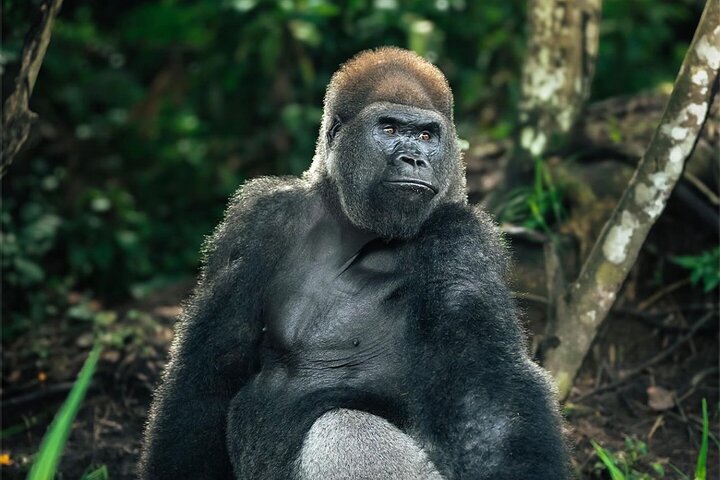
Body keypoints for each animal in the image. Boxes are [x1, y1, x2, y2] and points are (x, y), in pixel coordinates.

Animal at [140, 46, 569, 480]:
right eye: (390, 129)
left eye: (427, 136)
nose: (414, 159)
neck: (352, 227)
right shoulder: (260, 218)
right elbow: (210, 368)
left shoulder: (459, 237)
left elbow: (486, 396)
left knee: (344, 426)